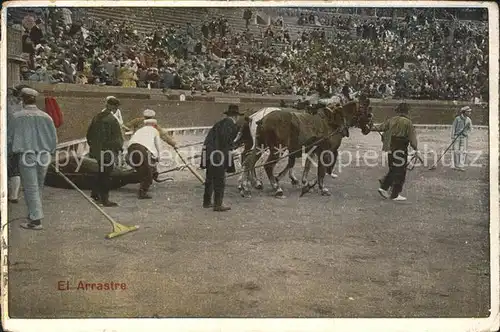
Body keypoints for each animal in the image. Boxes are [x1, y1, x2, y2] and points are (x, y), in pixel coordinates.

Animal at [242, 99, 372, 197]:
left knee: (249, 162)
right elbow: (322, 170)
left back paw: (247, 186)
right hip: (277, 149)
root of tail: (261, 118)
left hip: (260, 146)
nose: (368, 128)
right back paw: (276, 188)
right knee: (267, 165)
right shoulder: (326, 151)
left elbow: (307, 166)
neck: (333, 122)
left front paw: (306, 183)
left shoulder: (314, 150)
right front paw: (321, 187)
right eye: (368, 112)